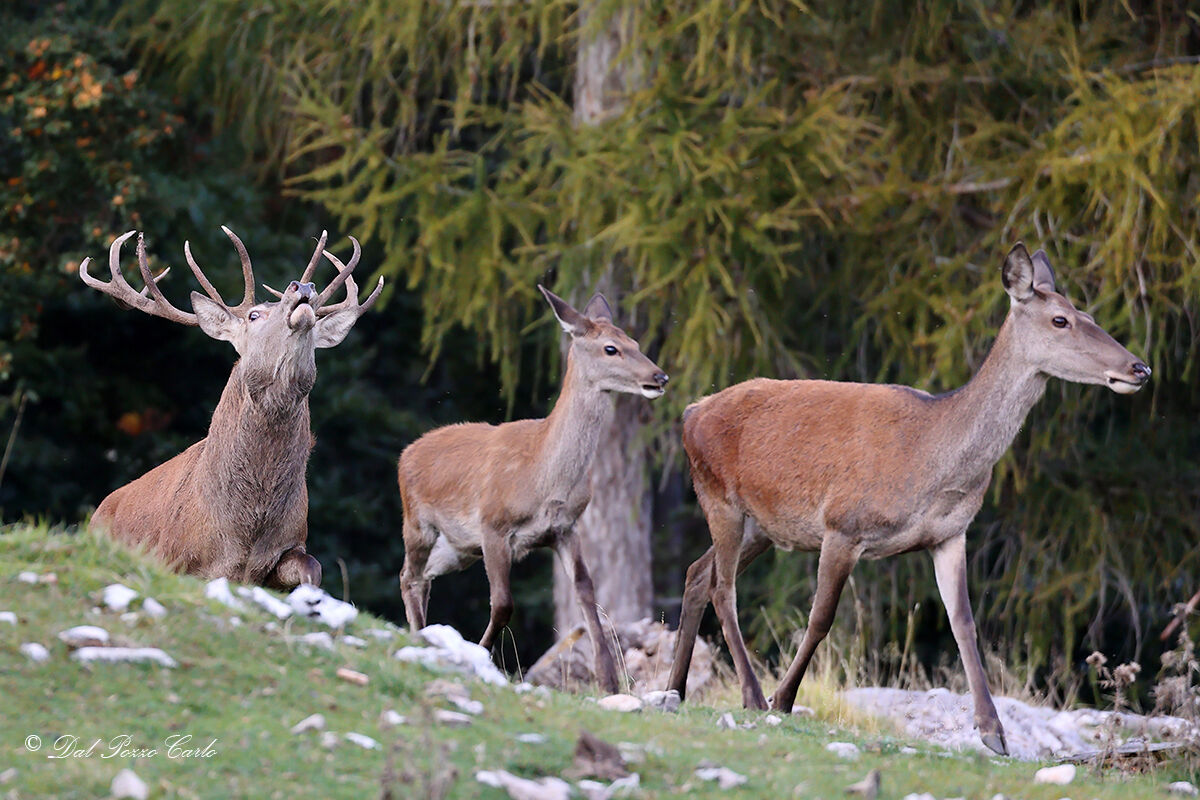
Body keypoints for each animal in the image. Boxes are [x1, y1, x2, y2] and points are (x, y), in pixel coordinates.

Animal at [79, 227, 382, 589]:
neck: (243, 530)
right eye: (254, 315)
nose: (303, 287)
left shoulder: (292, 542)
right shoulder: (172, 554)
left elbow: (313, 568)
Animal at [397, 286, 669, 692]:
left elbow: (587, 593)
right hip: (417, 523)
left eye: (635, 342)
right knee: (409, 577)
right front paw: (481, 655)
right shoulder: (492, 525)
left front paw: (609, 682)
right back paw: (419, 635)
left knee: (420, 577)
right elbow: (503, 602)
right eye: (610, 348)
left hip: (457, 547)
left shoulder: (566, 528)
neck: (543, 477)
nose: (660, 376)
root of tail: (406, 454)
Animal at [665, 244, 1151, 755]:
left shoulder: (950, 534)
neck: (932, 461)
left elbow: (964, 623)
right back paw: (753, 695)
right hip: (720, 497)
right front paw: (784, 698)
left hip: (763, 525)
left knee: (697, 573)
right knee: (723, 588)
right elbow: (820, 619)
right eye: (1061, 319)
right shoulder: (843, 525)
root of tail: (691, 411)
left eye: (1089, 314)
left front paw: (993, 732)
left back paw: (675, 689)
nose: (1140, 368)